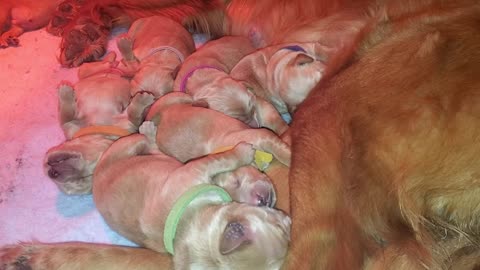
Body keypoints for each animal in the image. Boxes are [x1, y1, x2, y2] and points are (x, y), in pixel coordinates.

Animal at [44, 51, 154, 194]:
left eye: (84, 176)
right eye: (81, 179)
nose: (53, 173)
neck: (96, 128)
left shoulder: (128, 123)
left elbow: (133, 115)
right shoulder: (69, 125)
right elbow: (65, 114)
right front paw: (66, 93)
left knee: (130, 66)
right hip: (85, 71)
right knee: (96, 66)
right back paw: (111, 58)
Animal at [92, 123, 290, 268]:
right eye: (236, 182)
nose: (261, 200)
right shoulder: (196, 168)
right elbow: (224, 158)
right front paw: (244, 151)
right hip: (129, 144)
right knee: (149, 144)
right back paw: (148, 131)